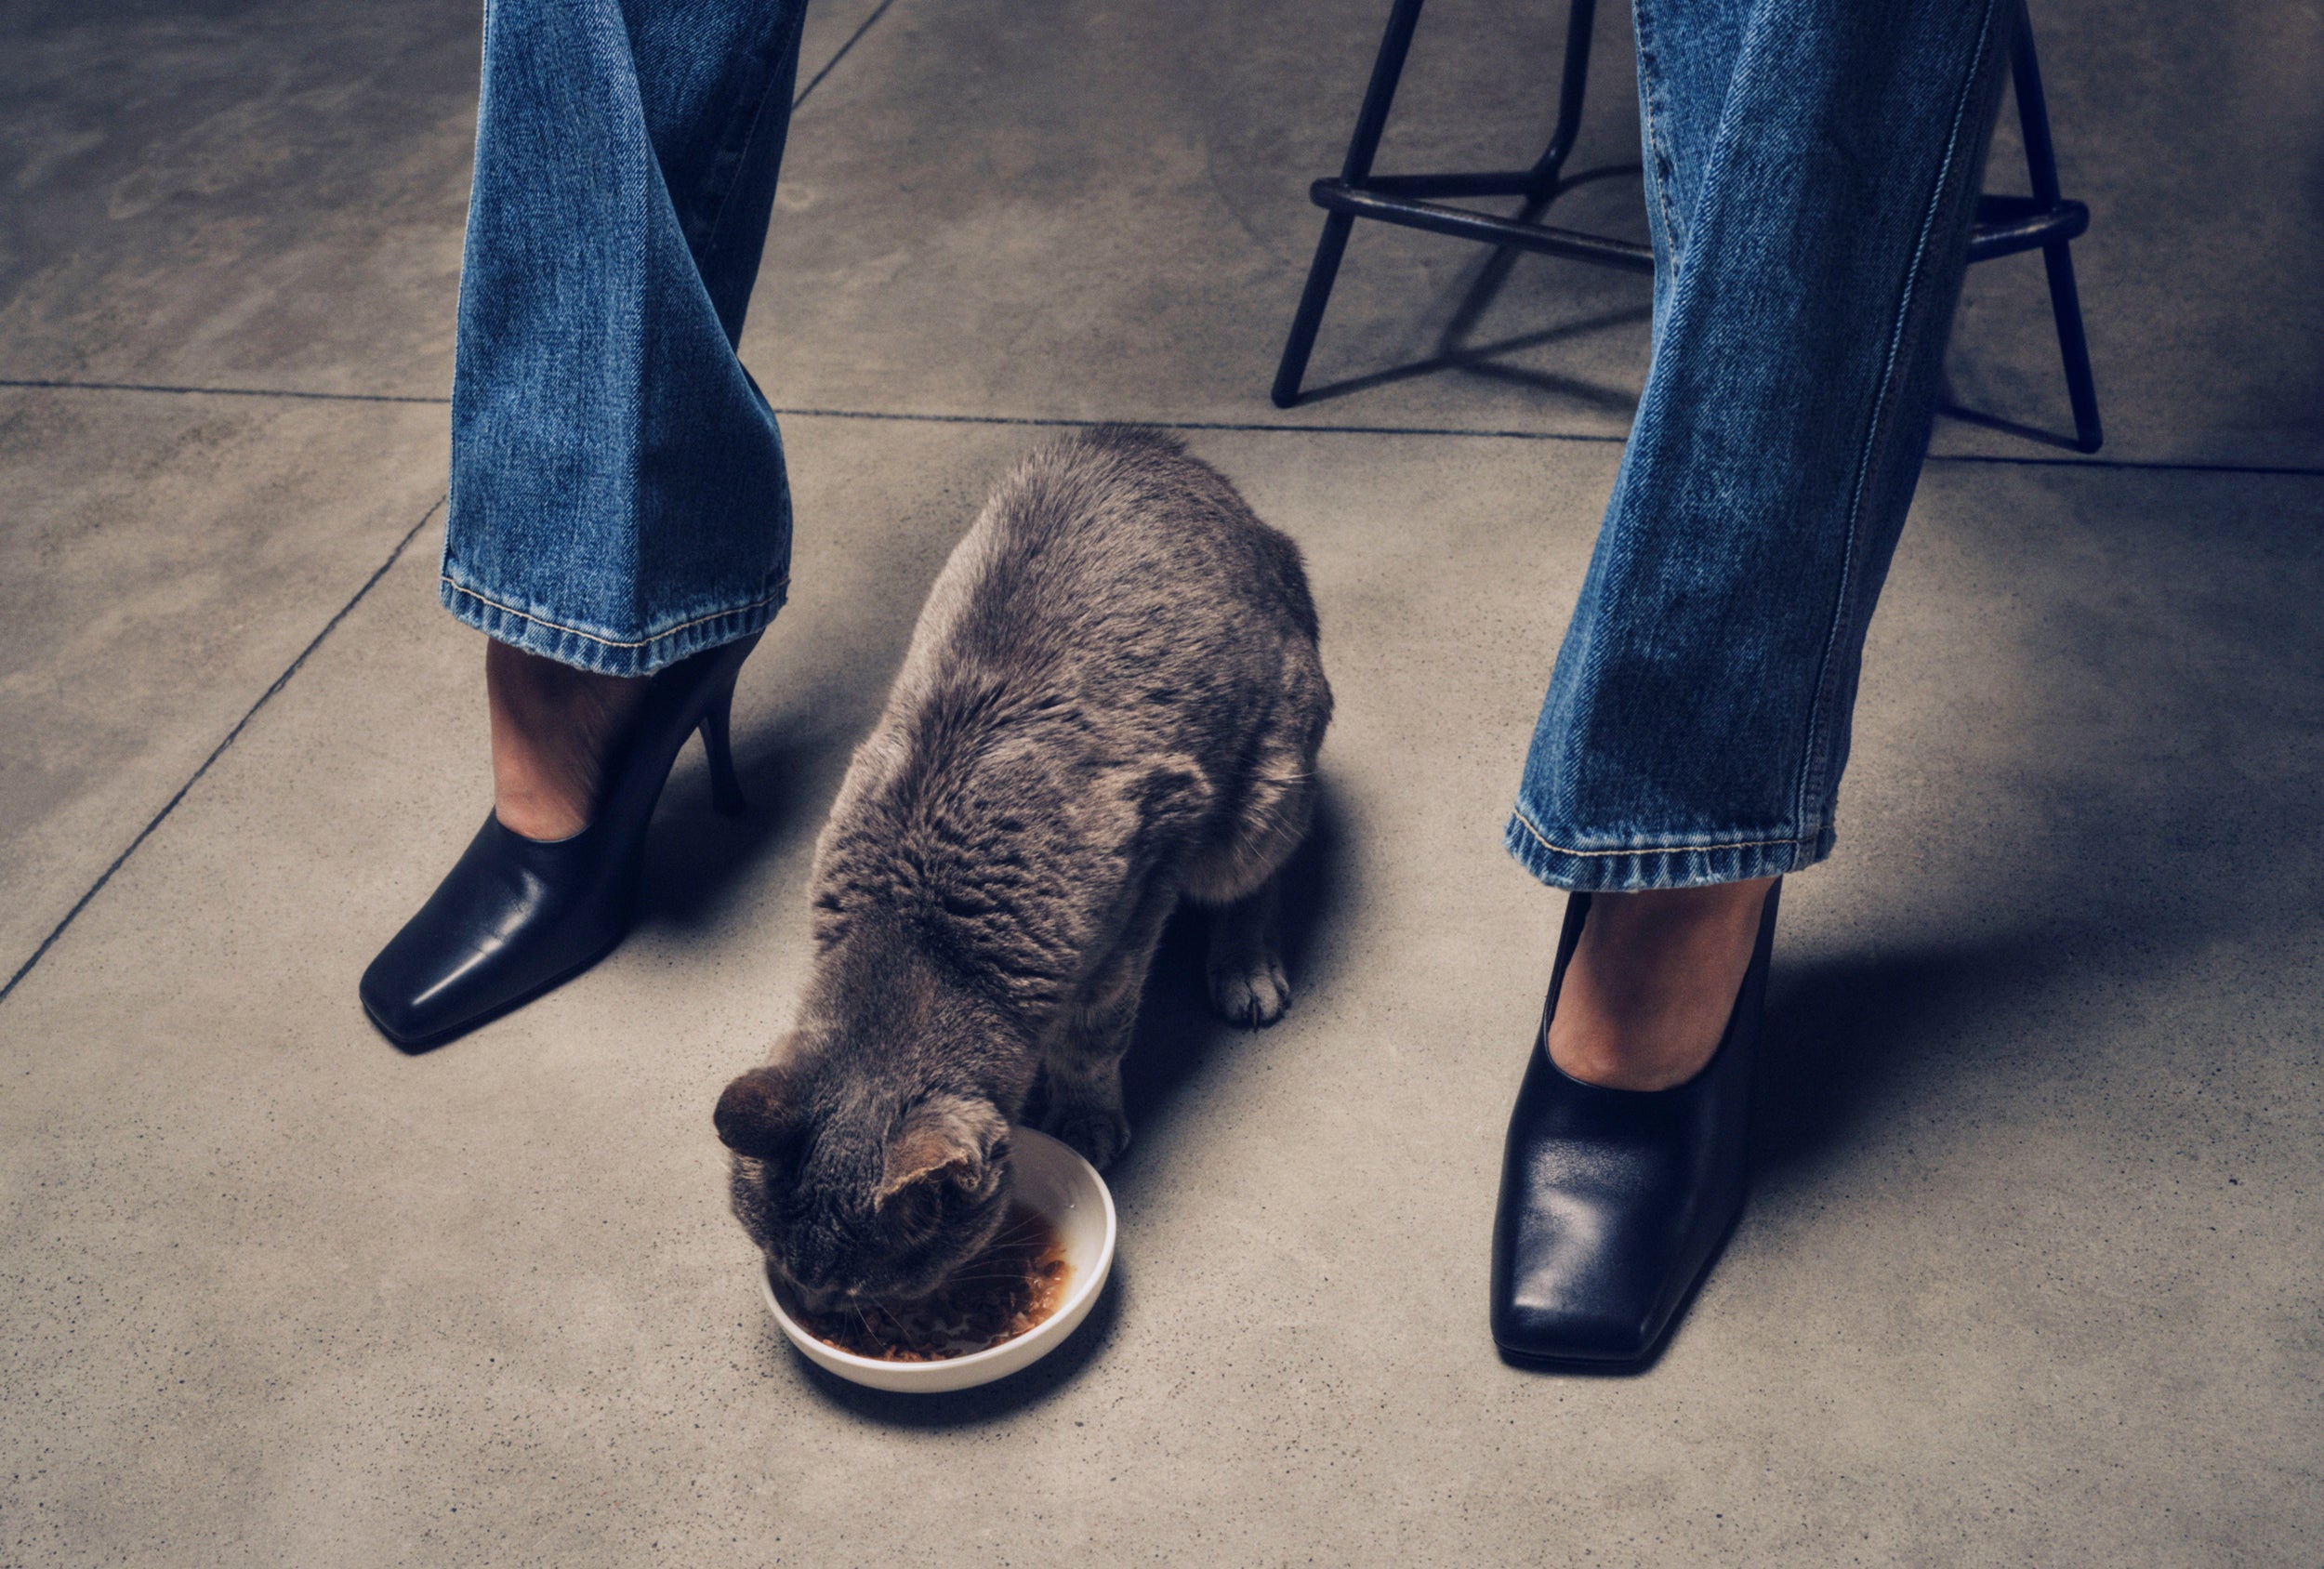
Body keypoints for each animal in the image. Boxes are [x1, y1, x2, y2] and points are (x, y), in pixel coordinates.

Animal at [715, 426, 1331, 1307]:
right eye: (787, 1269)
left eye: (865, 1296)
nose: (814, 1308)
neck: (916, 929)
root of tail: (1159, 446)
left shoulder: (1150, 871)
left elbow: (1095, 1030)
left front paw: (1084, 1114)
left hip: (1261, 797)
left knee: (1259, 878)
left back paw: (1245, 967)